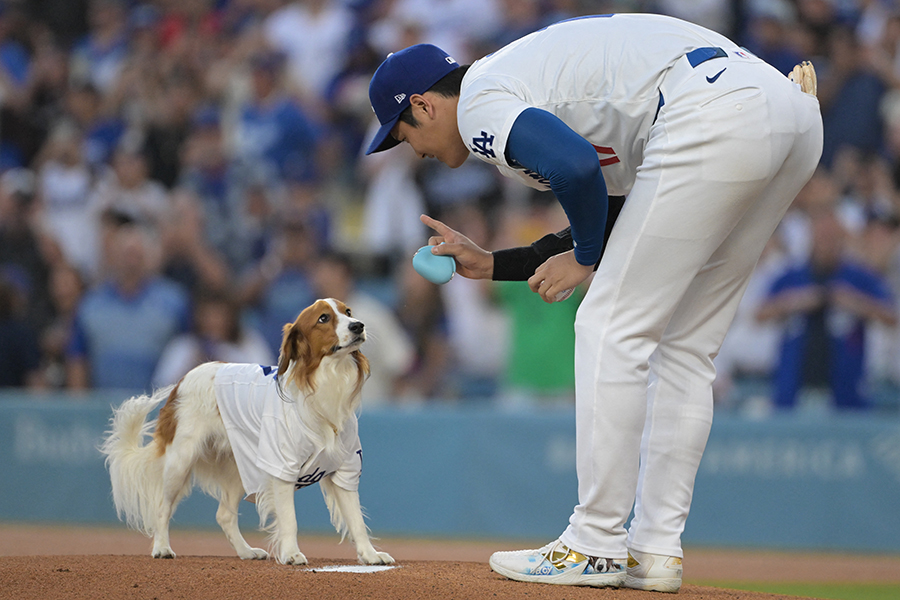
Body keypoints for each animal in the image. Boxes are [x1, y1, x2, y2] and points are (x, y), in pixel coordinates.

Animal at [99, 298, 394, 564]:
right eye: (323, 318)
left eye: (348, 312)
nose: (358, 325)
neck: (326, 383)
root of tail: (183, 379)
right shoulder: (282, 467)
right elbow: (290, 519)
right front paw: (291, 554)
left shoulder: (346, 468)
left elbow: (356, 520)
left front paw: (370, 555)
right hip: (180, 462)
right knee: (162, 507)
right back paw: (161, 548)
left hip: (239, 468)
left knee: (224, 515)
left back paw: (246, 552)